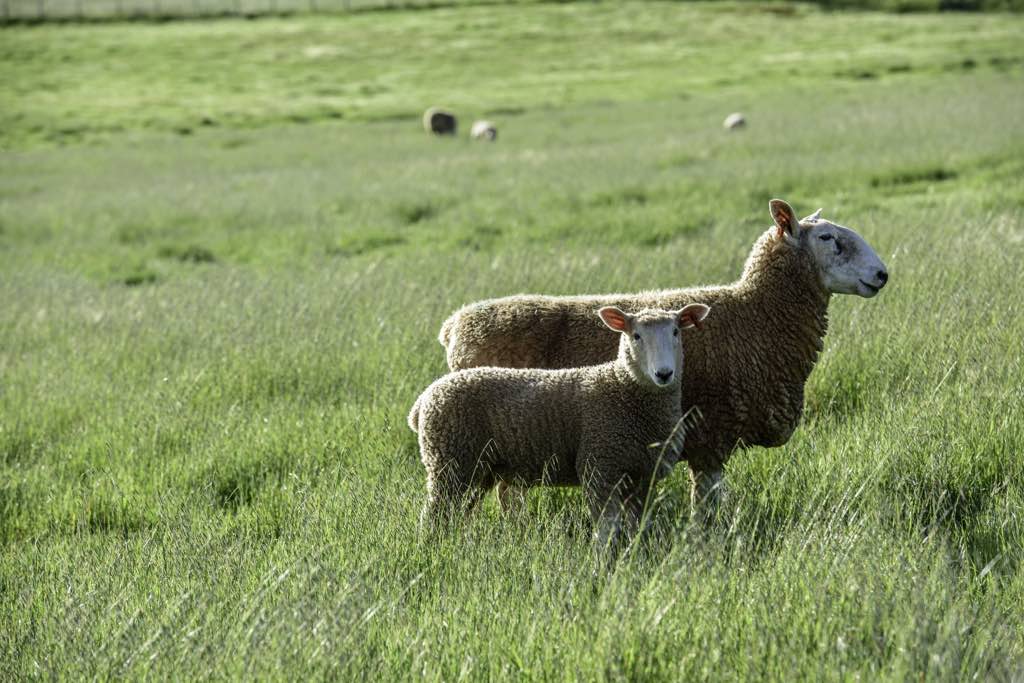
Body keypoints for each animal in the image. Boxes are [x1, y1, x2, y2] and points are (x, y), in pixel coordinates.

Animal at [407, 305, 712, 557]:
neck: (623, 387)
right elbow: (606, 531)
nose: (664, 373)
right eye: (635, 336)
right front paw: (602, 565)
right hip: (449, 462)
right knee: (432, 516)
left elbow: (637, 526)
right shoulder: (599, 468)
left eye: (675, 331)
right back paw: (430, 551)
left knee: (457, 515)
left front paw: (635, 555)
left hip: (477, 469)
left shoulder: (641, 476)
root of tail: (424, 398)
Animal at [436, 200, 892, 528]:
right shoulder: (711, 433)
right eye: (829, 238)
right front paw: (707, 543)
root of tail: (455, 324)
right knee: (505, 494)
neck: (756, 313)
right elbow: (705, 504)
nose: (882, 275)